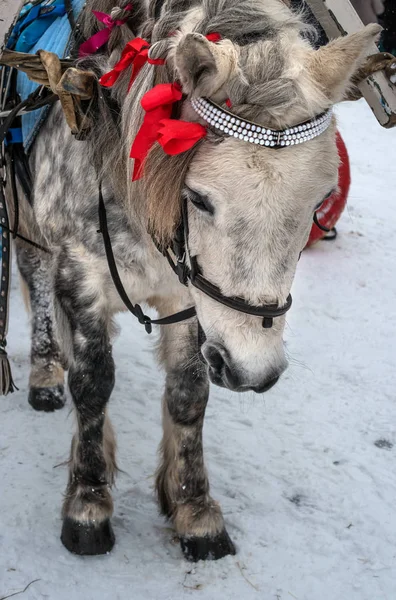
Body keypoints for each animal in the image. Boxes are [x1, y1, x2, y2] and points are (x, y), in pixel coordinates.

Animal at [8, 0, 380, 564]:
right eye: (200, 198)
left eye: (321, 202)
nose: (254, 371)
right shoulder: (80, 269)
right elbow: (93, 384)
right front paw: (88, 504)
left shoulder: (194, 298)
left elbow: (189, 392)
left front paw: (194, 510)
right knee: (36, 277)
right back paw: (47, 371)